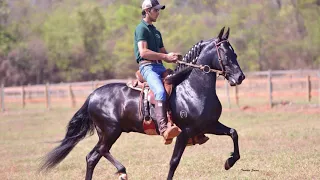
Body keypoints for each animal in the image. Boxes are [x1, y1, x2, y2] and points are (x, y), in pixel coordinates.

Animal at [40, 27, 245, 180]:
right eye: (226, 54)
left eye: (235, 52)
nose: (240, 77)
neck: (193, 88)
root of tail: (93, 95)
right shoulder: (184, 132)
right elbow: (174, 162)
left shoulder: (209, 125)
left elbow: (233, 133)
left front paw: (229, 161)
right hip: (110, 131)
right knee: (97, 154)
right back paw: (121, 171)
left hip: (107, 133)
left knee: (94, 156)